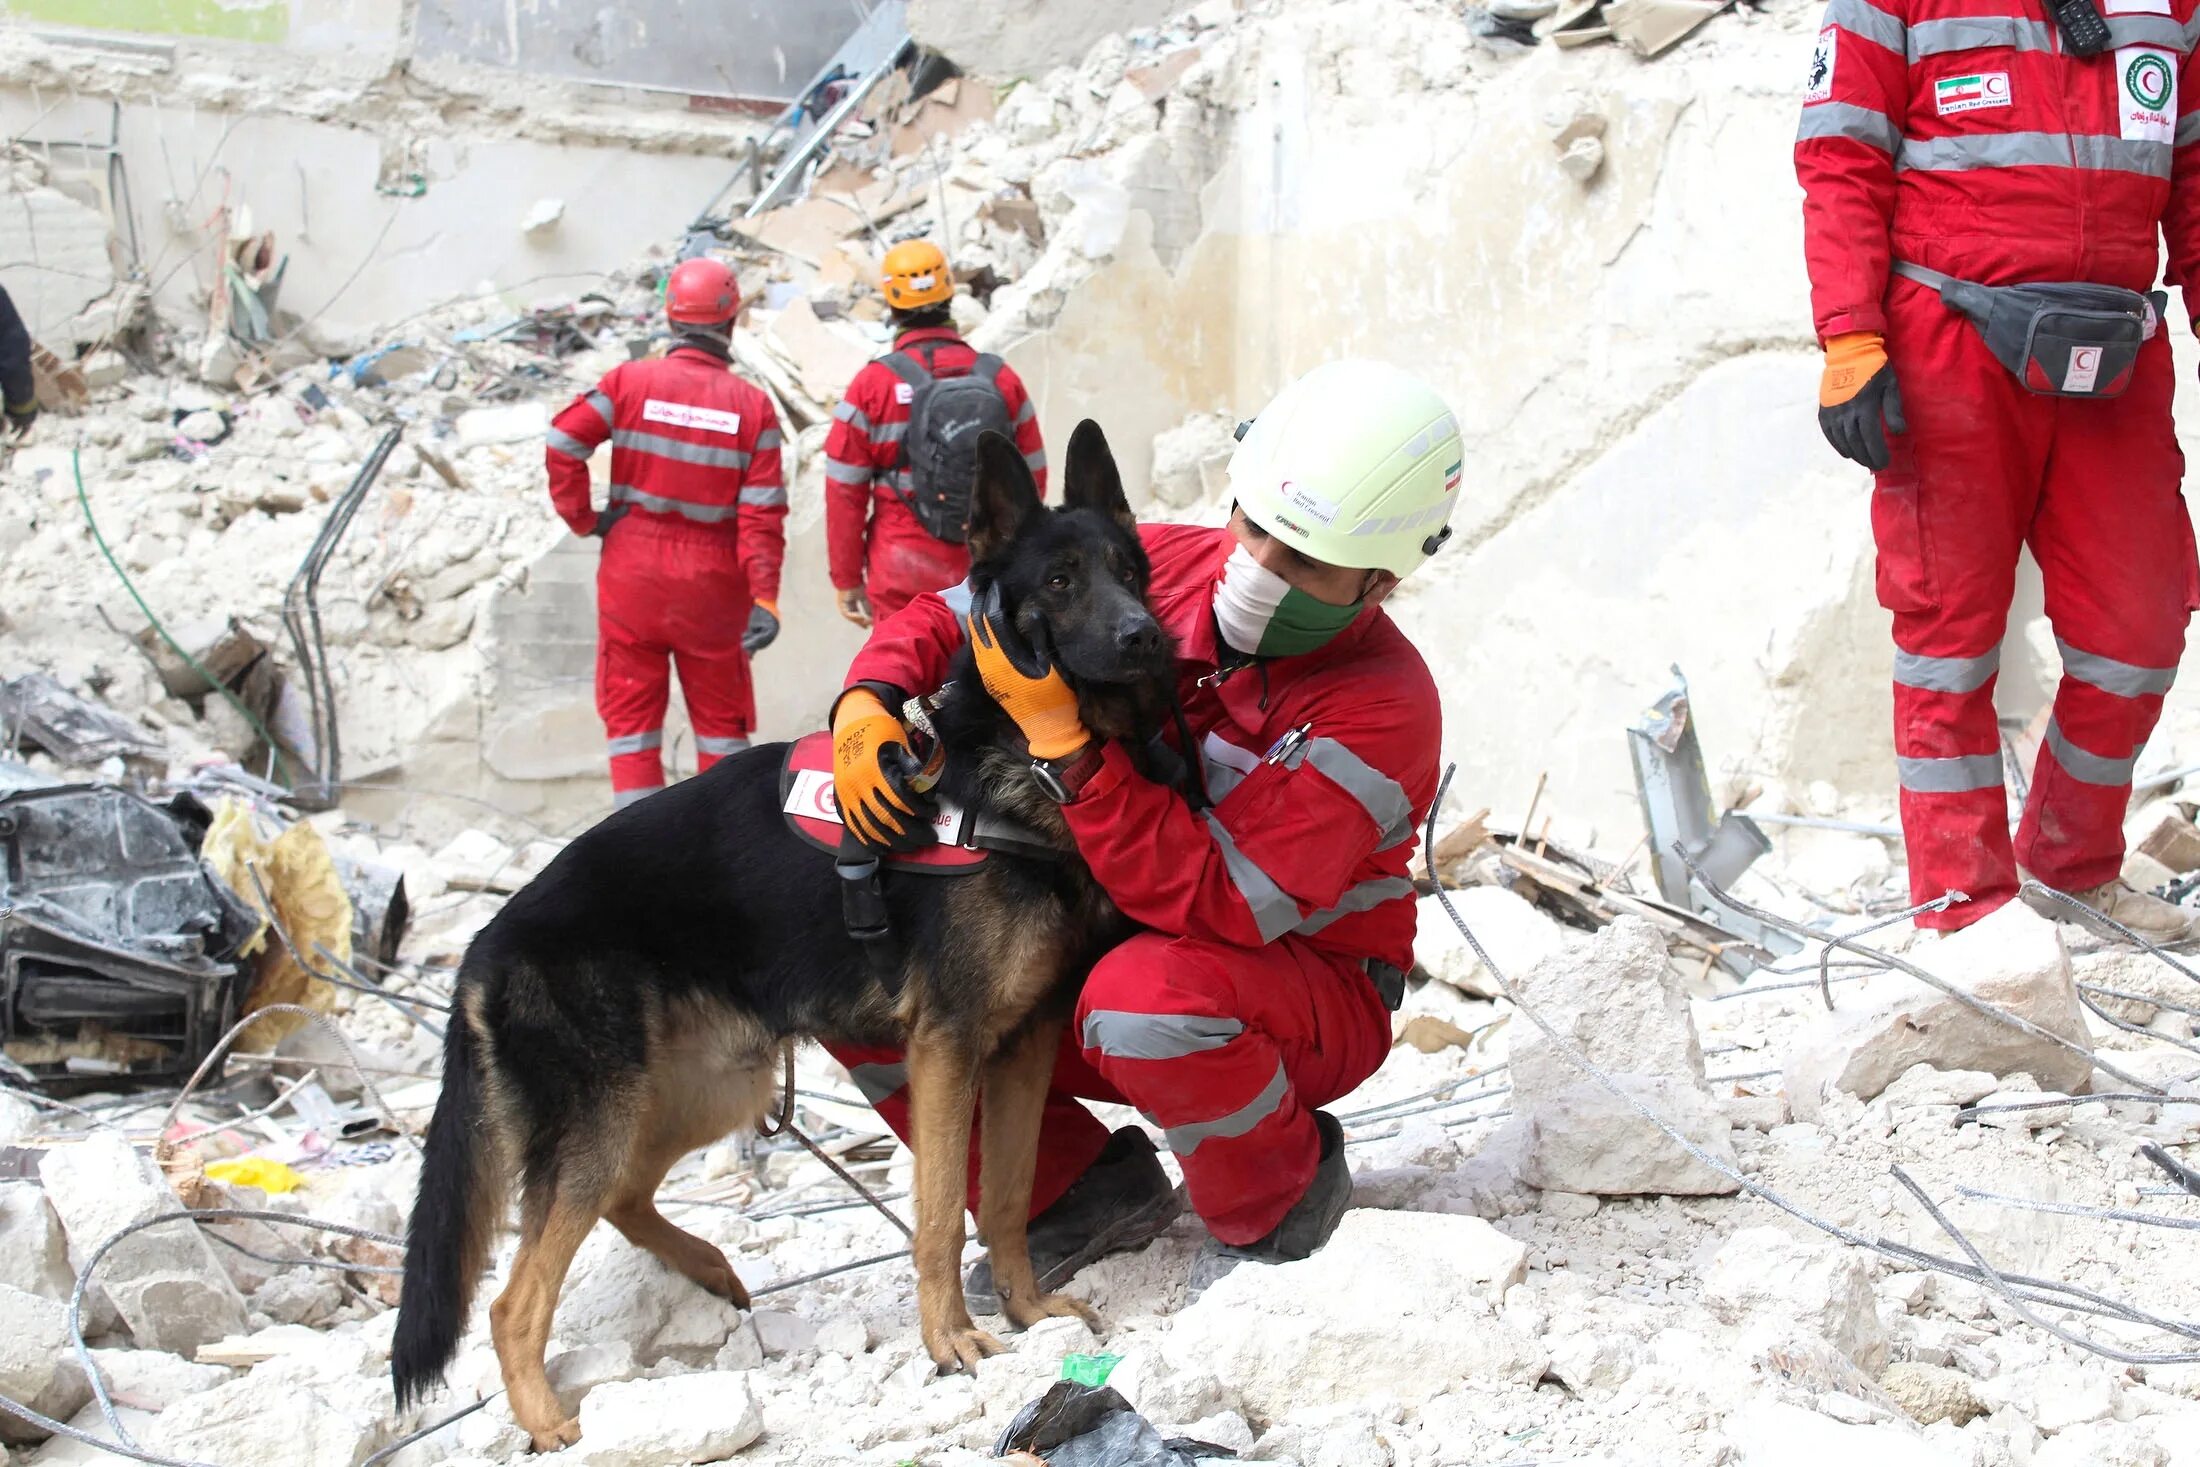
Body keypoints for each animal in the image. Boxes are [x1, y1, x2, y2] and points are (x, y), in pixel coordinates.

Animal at [396, 417, 1188, 1451]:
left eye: (1131, 571)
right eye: (1058, 582)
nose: (1145, 636)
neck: (1018, 769)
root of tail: (484, 945)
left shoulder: (1024, 1046)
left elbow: (1011, 1196)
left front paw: (1023, 1311)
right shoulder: (949, 1048)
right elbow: (944, 1210)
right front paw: (951, 1340)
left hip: (704, 1091)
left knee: (622, 1199)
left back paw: (707, 1267)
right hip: (610, 1117)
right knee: (513, 1296)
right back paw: (554, 1422)